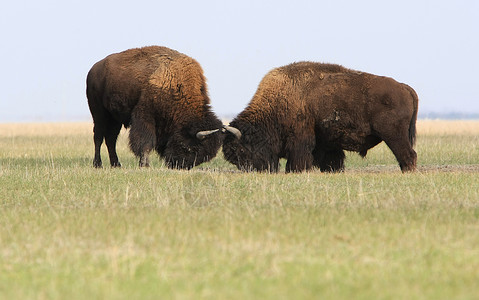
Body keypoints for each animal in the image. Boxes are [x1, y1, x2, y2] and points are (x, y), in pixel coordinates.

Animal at [87, 46, 224, 169]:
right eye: (192, 148)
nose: (179, 166)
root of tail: (93, 69)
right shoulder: (145, 116)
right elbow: (145, 142)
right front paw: (145, 164)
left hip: (115, 119)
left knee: (111, 139)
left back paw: (116, 164)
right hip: (99, 114)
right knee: (98, 137)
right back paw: (98, 164)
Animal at [223, 61, 418, 172]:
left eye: (241, 149)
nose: (250, 170)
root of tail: (404, 87)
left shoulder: (300, 139)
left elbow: (299, 159)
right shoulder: (327, 143)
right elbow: (332, 160)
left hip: (394, 135)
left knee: (408, 154)